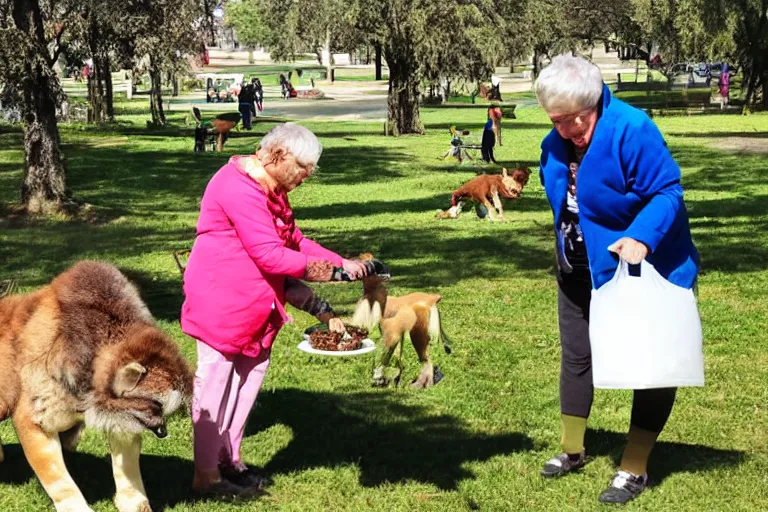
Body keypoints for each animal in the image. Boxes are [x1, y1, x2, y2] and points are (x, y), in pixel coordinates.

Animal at [0, 262, 192, 512]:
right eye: (154, 406)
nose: (163, 432)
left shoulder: (121, 416)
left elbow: (126, 458)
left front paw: (134, 502)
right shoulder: (35, 411)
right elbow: (57, 477)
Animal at [348, 254, 450, 390]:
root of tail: (432, 298)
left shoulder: (391, 330)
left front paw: (380, 377)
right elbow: (396, 353)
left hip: (417, 325)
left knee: (424, 357)